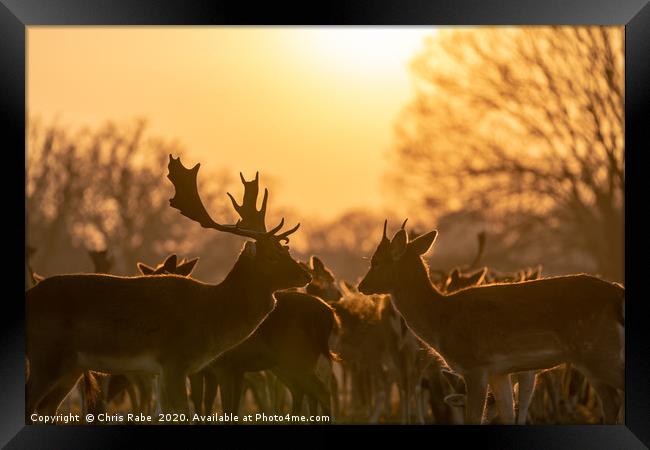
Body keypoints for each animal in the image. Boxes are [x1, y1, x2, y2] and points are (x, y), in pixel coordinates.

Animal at [25, 156, 308, 418]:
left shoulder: (165, 369)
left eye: (286, 250)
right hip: (45, 355)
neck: (211, 314)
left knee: (46, 408)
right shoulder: (174, 359)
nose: (304, 274)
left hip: (70, 367)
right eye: (271, 256)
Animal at [360, 221, 624, 426]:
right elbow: (508, 415)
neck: (441, 320)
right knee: (611, 402)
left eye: (376, 261)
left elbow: (475, 418)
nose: (362, 286)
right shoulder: (499, 370)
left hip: (597, 350)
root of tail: (617, 295)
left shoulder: (474, 366)